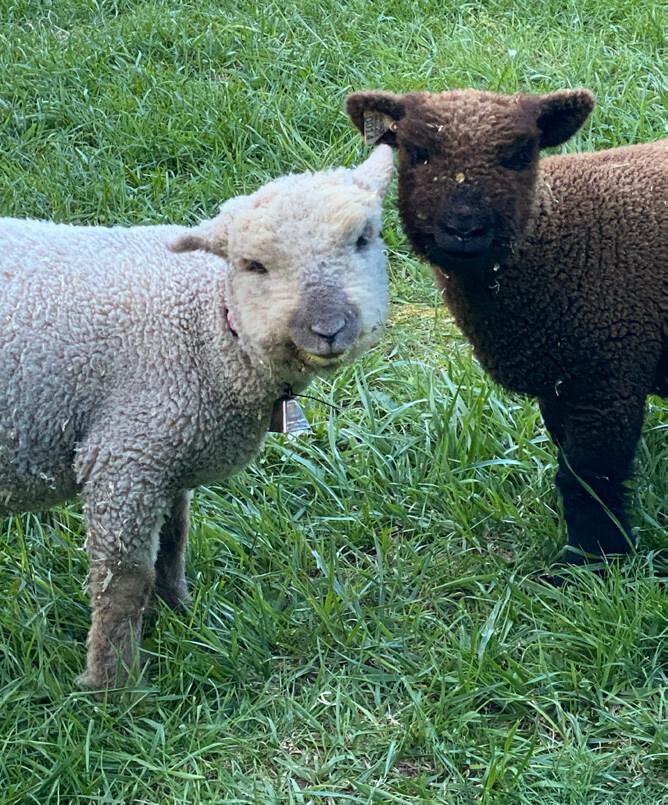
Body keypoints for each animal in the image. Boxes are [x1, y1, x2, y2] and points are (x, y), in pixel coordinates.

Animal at [0, 144, 394, 687]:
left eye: (363, 238)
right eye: (253, 265)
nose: (328, 328)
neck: (208, 330)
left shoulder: (168, 460)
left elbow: (173, 543)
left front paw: (177, 615)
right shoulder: (126, 458)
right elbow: (123, 579)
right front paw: (114, 684)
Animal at [347, 87, 668, 570]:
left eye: (519, 156)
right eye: (416, 153)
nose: (463, 229)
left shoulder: (607, 378)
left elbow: (588, 480)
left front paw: (589, 564)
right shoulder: (560, 381)